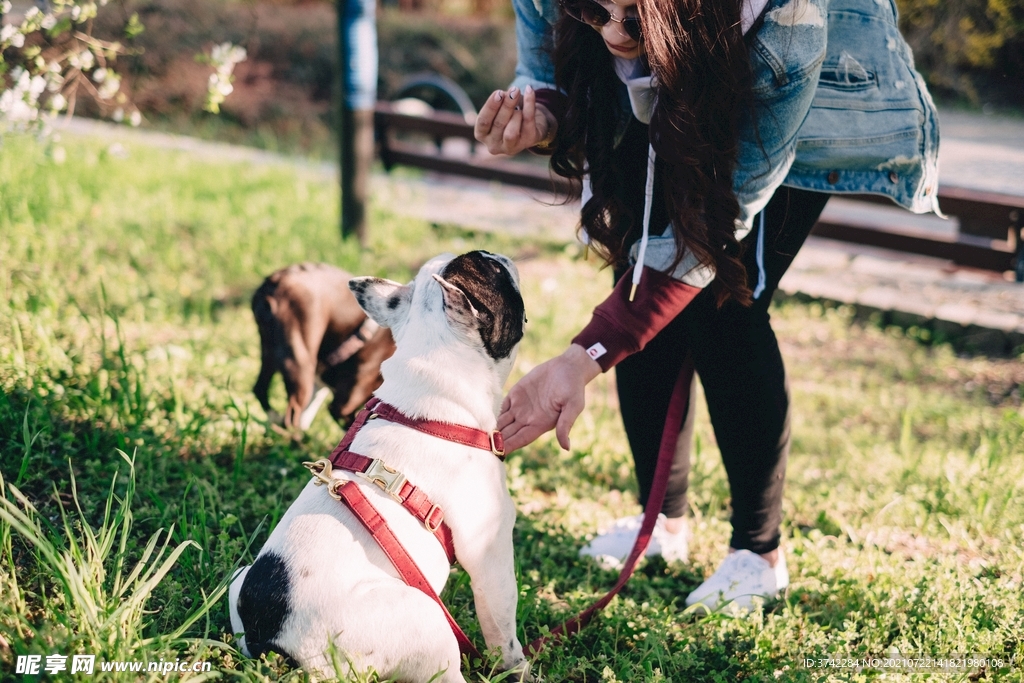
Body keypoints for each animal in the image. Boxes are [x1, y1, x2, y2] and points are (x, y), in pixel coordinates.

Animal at [251, 264, 395, 432]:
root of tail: (275, 281)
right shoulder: (343, 406)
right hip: (300, 364)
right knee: (292, 414)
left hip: (269, 353)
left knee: (261, 390)